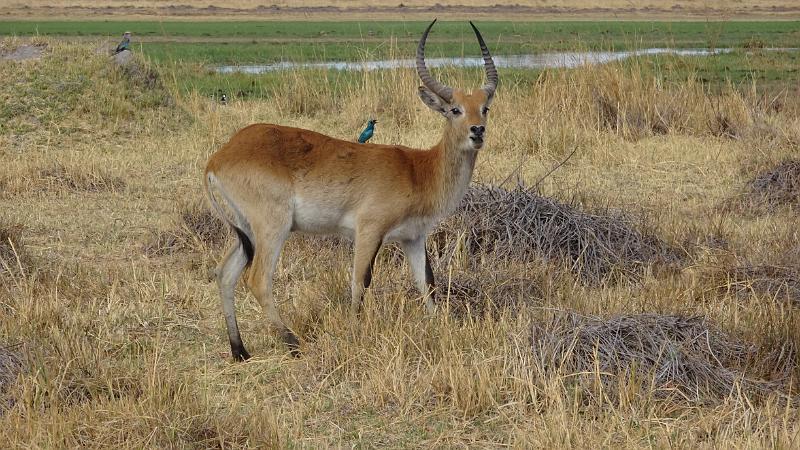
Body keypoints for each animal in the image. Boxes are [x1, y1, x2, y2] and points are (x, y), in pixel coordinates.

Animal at [203, 19, 496, 360]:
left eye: (485, 108)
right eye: (455, 109)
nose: (477, 131)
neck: (418, 170)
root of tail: (219, 156)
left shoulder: (412, 238)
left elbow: (427, 283)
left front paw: (441, 330)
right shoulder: (369, 230)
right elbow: (360, 281)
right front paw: (355, 333)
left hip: (246, 231)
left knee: (225, 274)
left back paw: (240, 351)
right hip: (272, 227)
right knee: (258, 279)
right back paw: (292, 343)